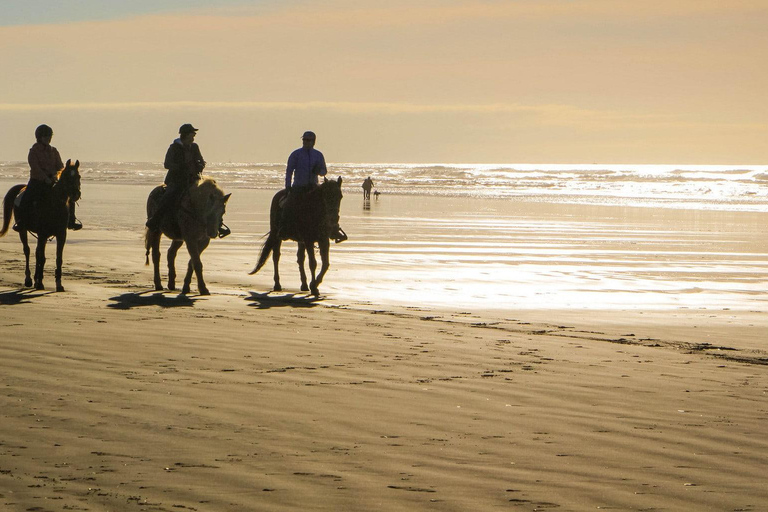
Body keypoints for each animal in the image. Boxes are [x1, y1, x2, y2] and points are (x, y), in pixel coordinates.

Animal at [0, 158, 82, 290]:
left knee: (36, 252)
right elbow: (42, 258)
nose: (75, 194)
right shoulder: (43, 234)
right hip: (23, 230)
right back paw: (29, 279)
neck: (54, 205)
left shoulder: (61, 235)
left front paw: (58, 284)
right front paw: (40, 283)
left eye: (78, 176)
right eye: (66, 176)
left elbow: (58, 258)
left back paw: (35, 278)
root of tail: (22, 188)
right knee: (27, 250)